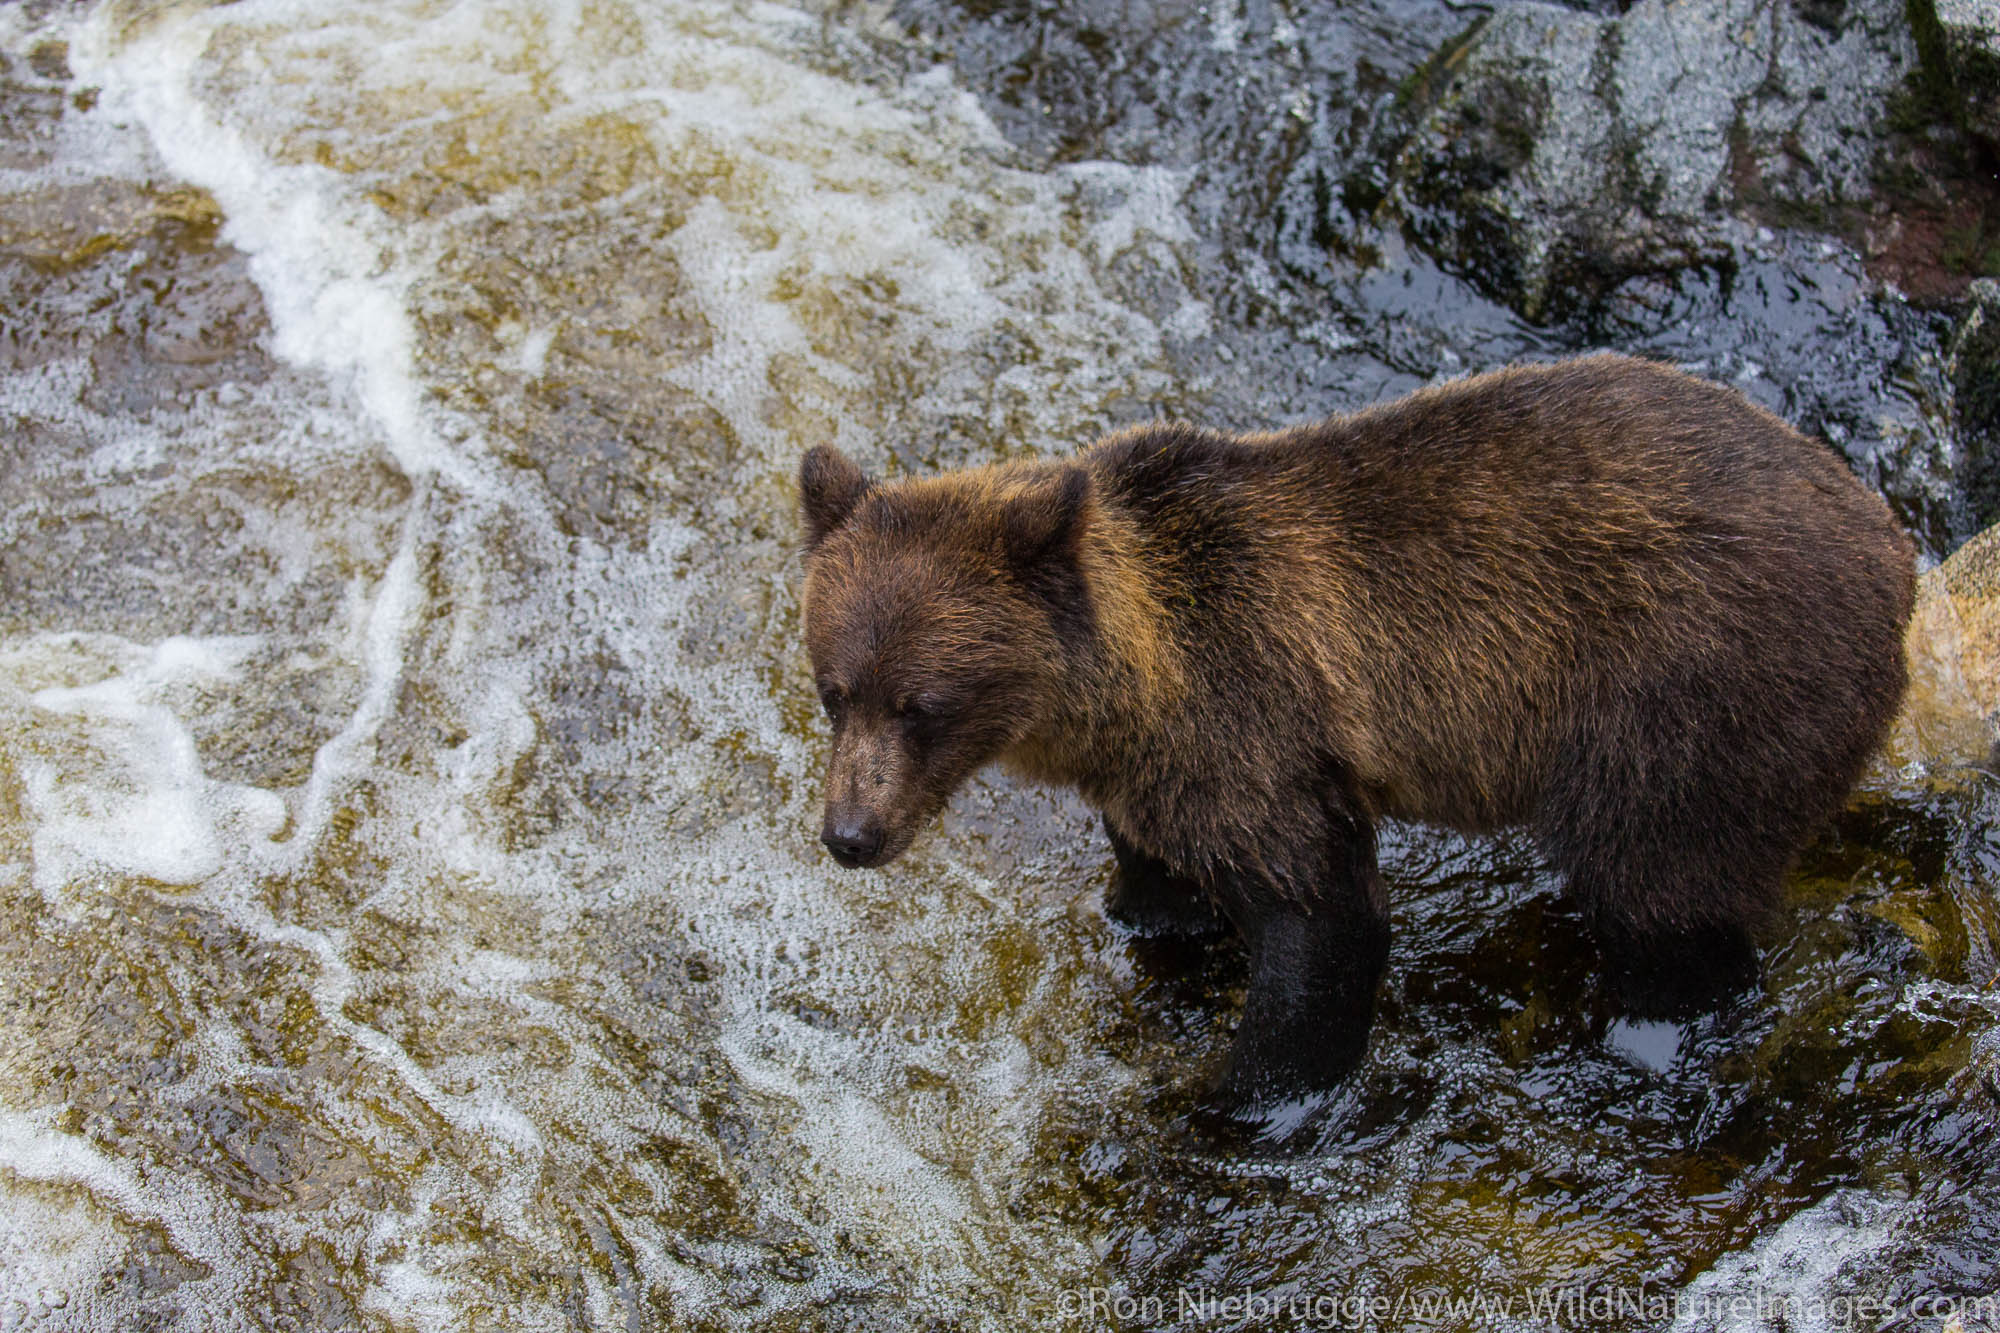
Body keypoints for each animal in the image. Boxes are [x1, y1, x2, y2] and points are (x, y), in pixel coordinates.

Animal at [788, 350, 1912, 1096]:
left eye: (923, 704)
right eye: (833, 688)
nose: (850, 835)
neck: (1126, 693)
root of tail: (1892, 549)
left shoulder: (1251, 717)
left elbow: (1320, 916)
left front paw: (1242, 1098)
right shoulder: (1154, 776)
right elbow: (1166, 890)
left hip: (1695, 695)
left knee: (1660, 884)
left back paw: (1649, 1027)